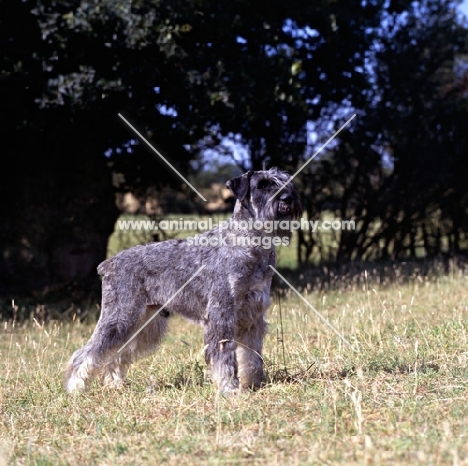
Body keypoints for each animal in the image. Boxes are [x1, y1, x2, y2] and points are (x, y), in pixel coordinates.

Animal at [64, 167, 302, 394]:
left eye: (287, 182)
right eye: (262, 185)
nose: (289, 198)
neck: (249, 243)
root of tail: (108, 264)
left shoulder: (252, 316)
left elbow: (252, 357)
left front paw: (251, 385)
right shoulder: (222, 314)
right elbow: (225, 358)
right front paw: (229, 389)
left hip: (145, 323)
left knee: (118, 353)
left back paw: (115, 385)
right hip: (120, 317)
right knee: (87, 353)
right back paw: (76, 389)